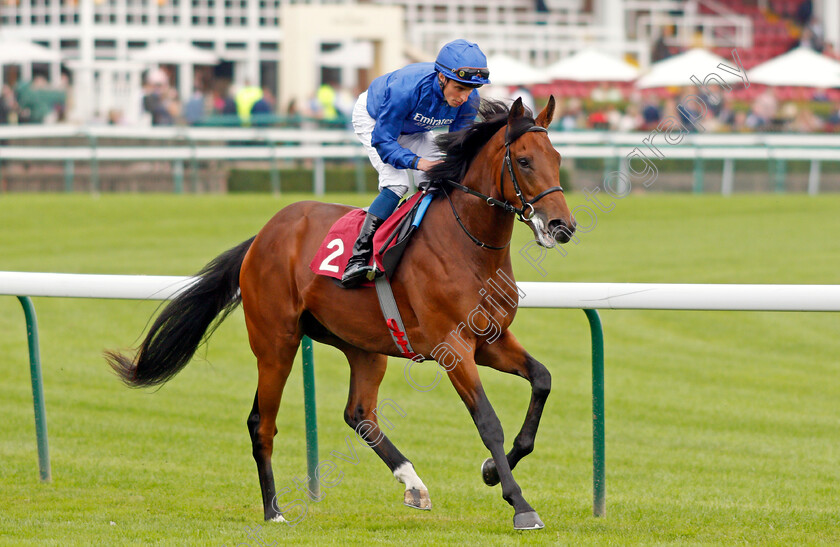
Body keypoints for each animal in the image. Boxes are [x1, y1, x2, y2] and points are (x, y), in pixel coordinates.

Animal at [105, 97, 576, 532]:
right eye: (524, 160)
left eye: (557, 159)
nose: (562, 227)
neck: (468, 246)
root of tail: (263, 235)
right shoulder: (453, 347)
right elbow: (488, 422)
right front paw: (520, 504)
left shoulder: (490, 340)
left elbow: (543, 380)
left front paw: (492, 470)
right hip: (276, 343)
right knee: (262, 423)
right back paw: (274, 510)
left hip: (363, 346)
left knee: (360, 414)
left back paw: (413, 484)